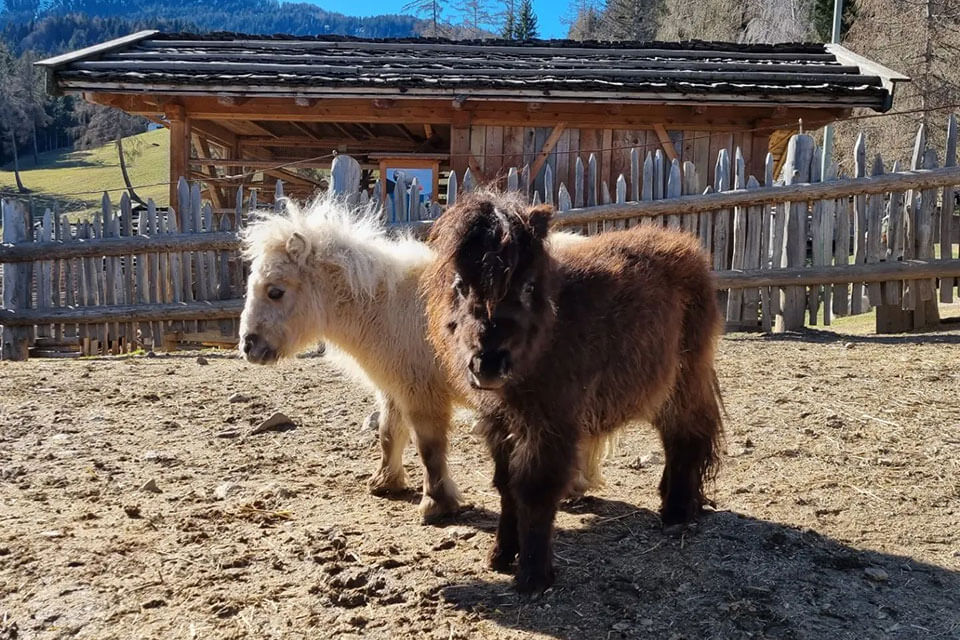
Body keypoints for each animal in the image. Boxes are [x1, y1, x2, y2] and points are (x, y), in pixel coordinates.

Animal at [237, 195, 613, 523]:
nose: (248, 346)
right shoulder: (393, 389)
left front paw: (436, 504)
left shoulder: (422, 395)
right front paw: (385, 482)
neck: (387, 306)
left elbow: (429, 448)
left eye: (275, 291)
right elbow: (389, 434)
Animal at [423, 190, 725, 594]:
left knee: (687, 436)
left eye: (527, 286)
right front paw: (501, 555)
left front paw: (533, 576)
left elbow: (535, 489)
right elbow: (506, 486)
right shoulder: (500, 424)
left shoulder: (553, 424)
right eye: (460, 285)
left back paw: (677, 512)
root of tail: (687, 245)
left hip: (685, 378)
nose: (488, 363)